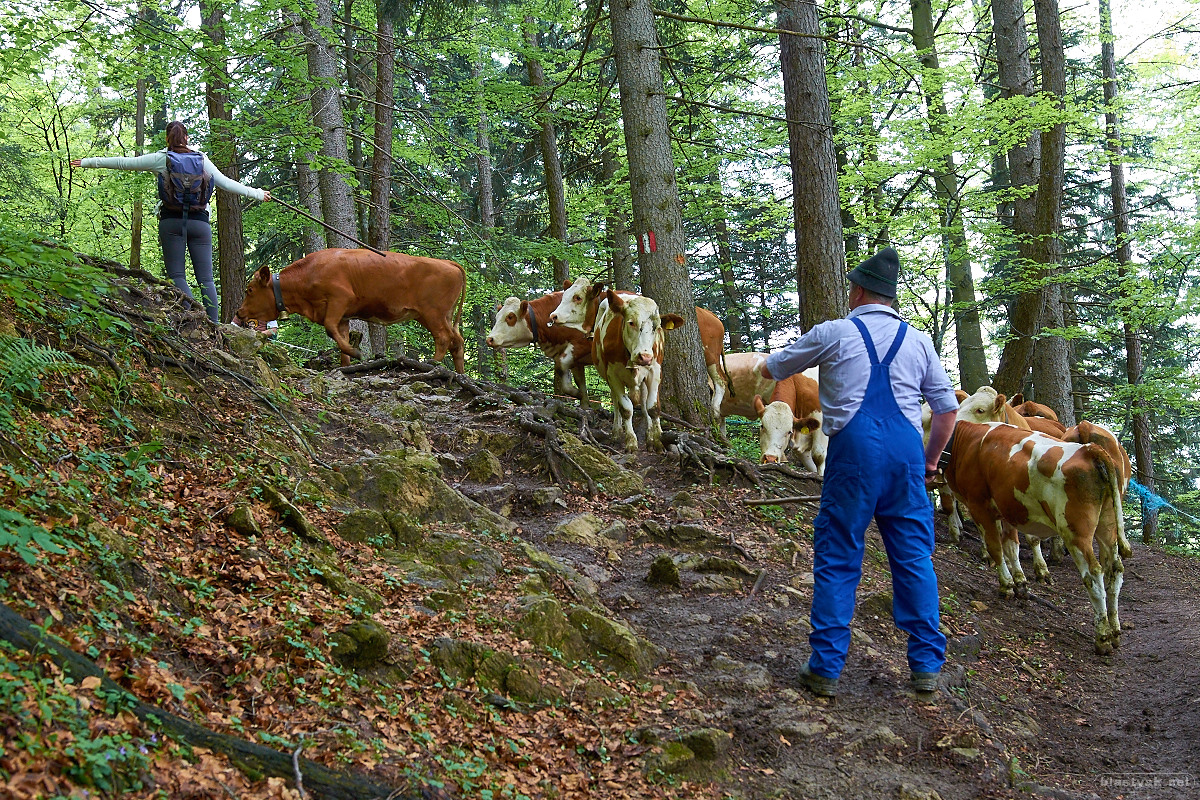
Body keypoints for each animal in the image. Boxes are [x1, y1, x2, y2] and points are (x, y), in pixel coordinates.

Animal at [234, 248, 463, 371]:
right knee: (457, 341)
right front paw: (346, 365)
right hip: (440, 315)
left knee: (444, 338)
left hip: (432, 313)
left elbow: (330, 329)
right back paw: (459, 373)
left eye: (250, 289)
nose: (238, 312)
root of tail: (449, 263)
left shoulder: (339, 299)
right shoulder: (343, 316)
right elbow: (341, 337)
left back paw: (433, 363)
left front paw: (356, 352)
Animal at [592, 289, 686, 453]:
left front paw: (657, 441)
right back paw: (616, 433)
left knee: (643, 403)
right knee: (616, 402)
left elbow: (653, 407)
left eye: (657, 327)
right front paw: (631, 442)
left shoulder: (655, 370)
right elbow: (626, 408)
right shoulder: (613, 375)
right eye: (631, 322)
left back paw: (651, 436)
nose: (645, 356)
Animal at [945, 422, 1123, 652]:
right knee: (1115, 570)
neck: (966, 439)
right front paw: (1020, 583)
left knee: (1093, 575)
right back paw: (1115, 631)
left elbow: (996, 547)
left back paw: (1102, 637)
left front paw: (1006, 586)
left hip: (1075, 532)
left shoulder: (979, 505)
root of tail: (1090, 450)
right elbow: (1011, 547)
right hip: (1107, 525)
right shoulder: (1007, 510)